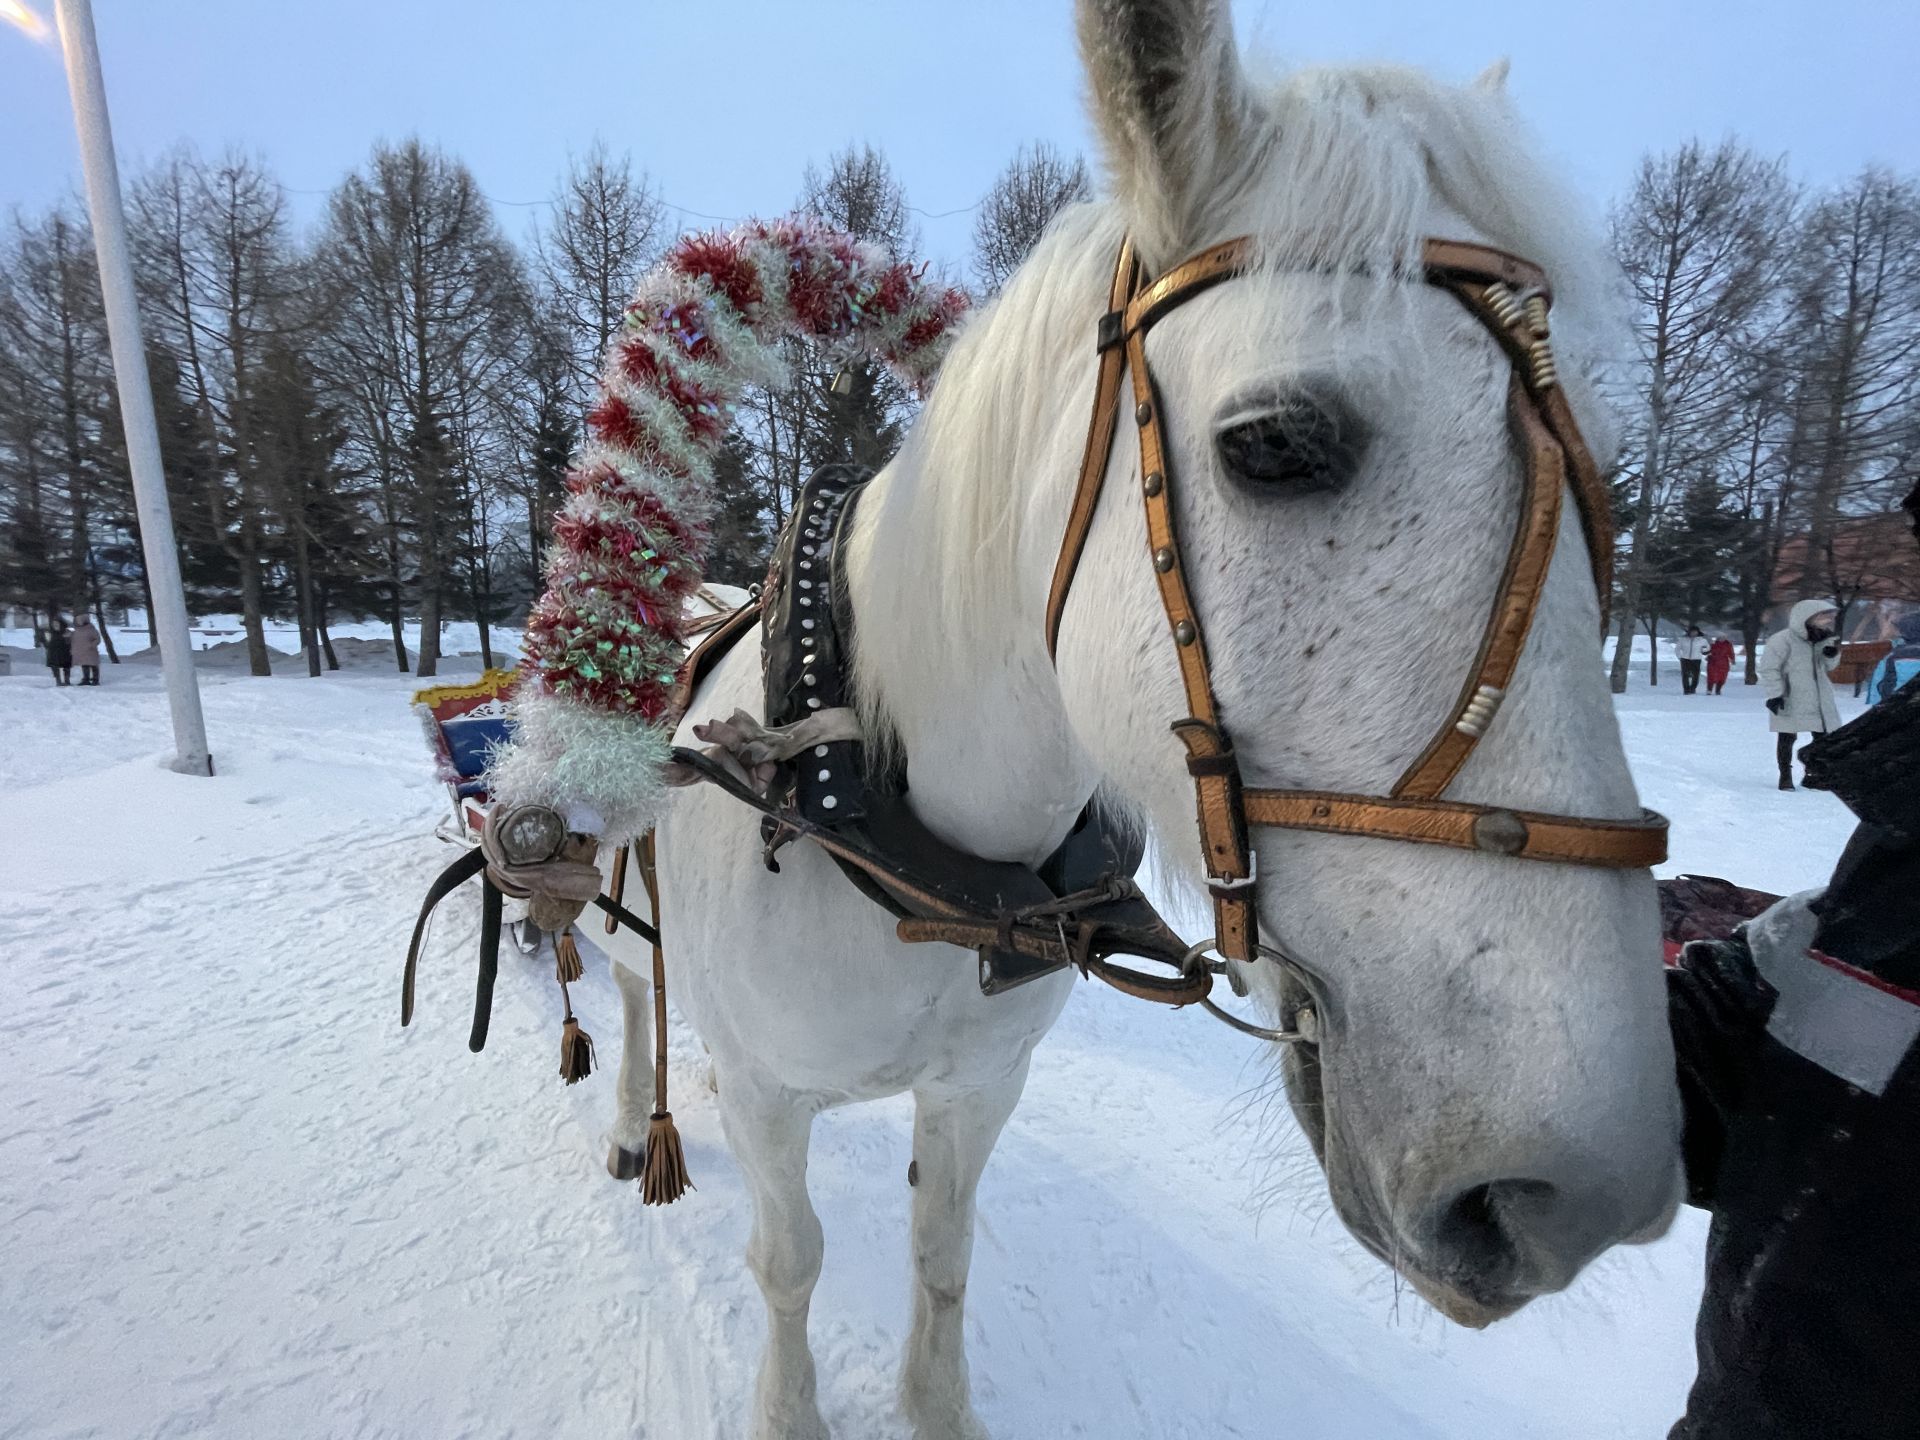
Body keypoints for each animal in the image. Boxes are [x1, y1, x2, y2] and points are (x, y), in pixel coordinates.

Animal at [602, 5, 1681, 1436]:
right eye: (1276, 444)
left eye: (1600, 471)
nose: (1573, 1186)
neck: (892, 835)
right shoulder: (778, 1099)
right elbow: (790, 1263)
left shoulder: (976, 1089)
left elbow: (941, 1255)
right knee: (626, 998)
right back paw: (632, 1117)